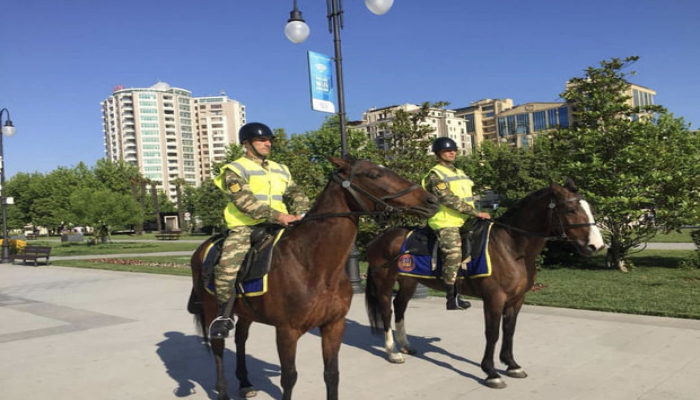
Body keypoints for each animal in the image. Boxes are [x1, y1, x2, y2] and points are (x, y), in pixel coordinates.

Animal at [186, 156, 438, 400]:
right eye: (374, 174)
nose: (431, 200)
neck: (314, 266)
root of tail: (201, 249)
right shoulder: (287, 331)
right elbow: (289, 378)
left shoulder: (333, 326)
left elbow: (332, 374)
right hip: (212, 309)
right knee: (218, 347)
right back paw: (223, 391)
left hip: (247, 312)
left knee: (241, 339)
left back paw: (246, 384)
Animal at [364, 180, 604, 390]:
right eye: (571, 210)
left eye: (590, 208)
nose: (597, 246)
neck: (511, 246)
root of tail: (381, 237)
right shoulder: (494, 298)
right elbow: (493, 333)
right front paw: (491, 372)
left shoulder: (517, 299)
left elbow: (509, 331)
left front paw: (512, 365)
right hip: (385, 281)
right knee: (386, 310)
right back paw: (392, 352)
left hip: (409, 282)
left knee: (400, 307)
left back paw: (405, 345)